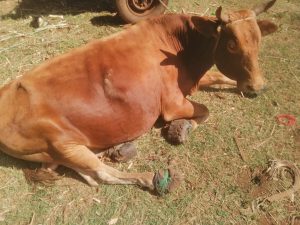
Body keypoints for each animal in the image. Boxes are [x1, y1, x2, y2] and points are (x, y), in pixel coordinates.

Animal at [0, 0, 276, 193]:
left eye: (259, 41)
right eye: (231, 44)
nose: (256, 85)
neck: (183, 49)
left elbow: (220, 77)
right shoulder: (173, 104)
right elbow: (205, 112)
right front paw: (182, 128)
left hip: (60, 152)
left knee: (87, 174)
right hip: (62, 143)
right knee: (102, 174)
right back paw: (148, 177)